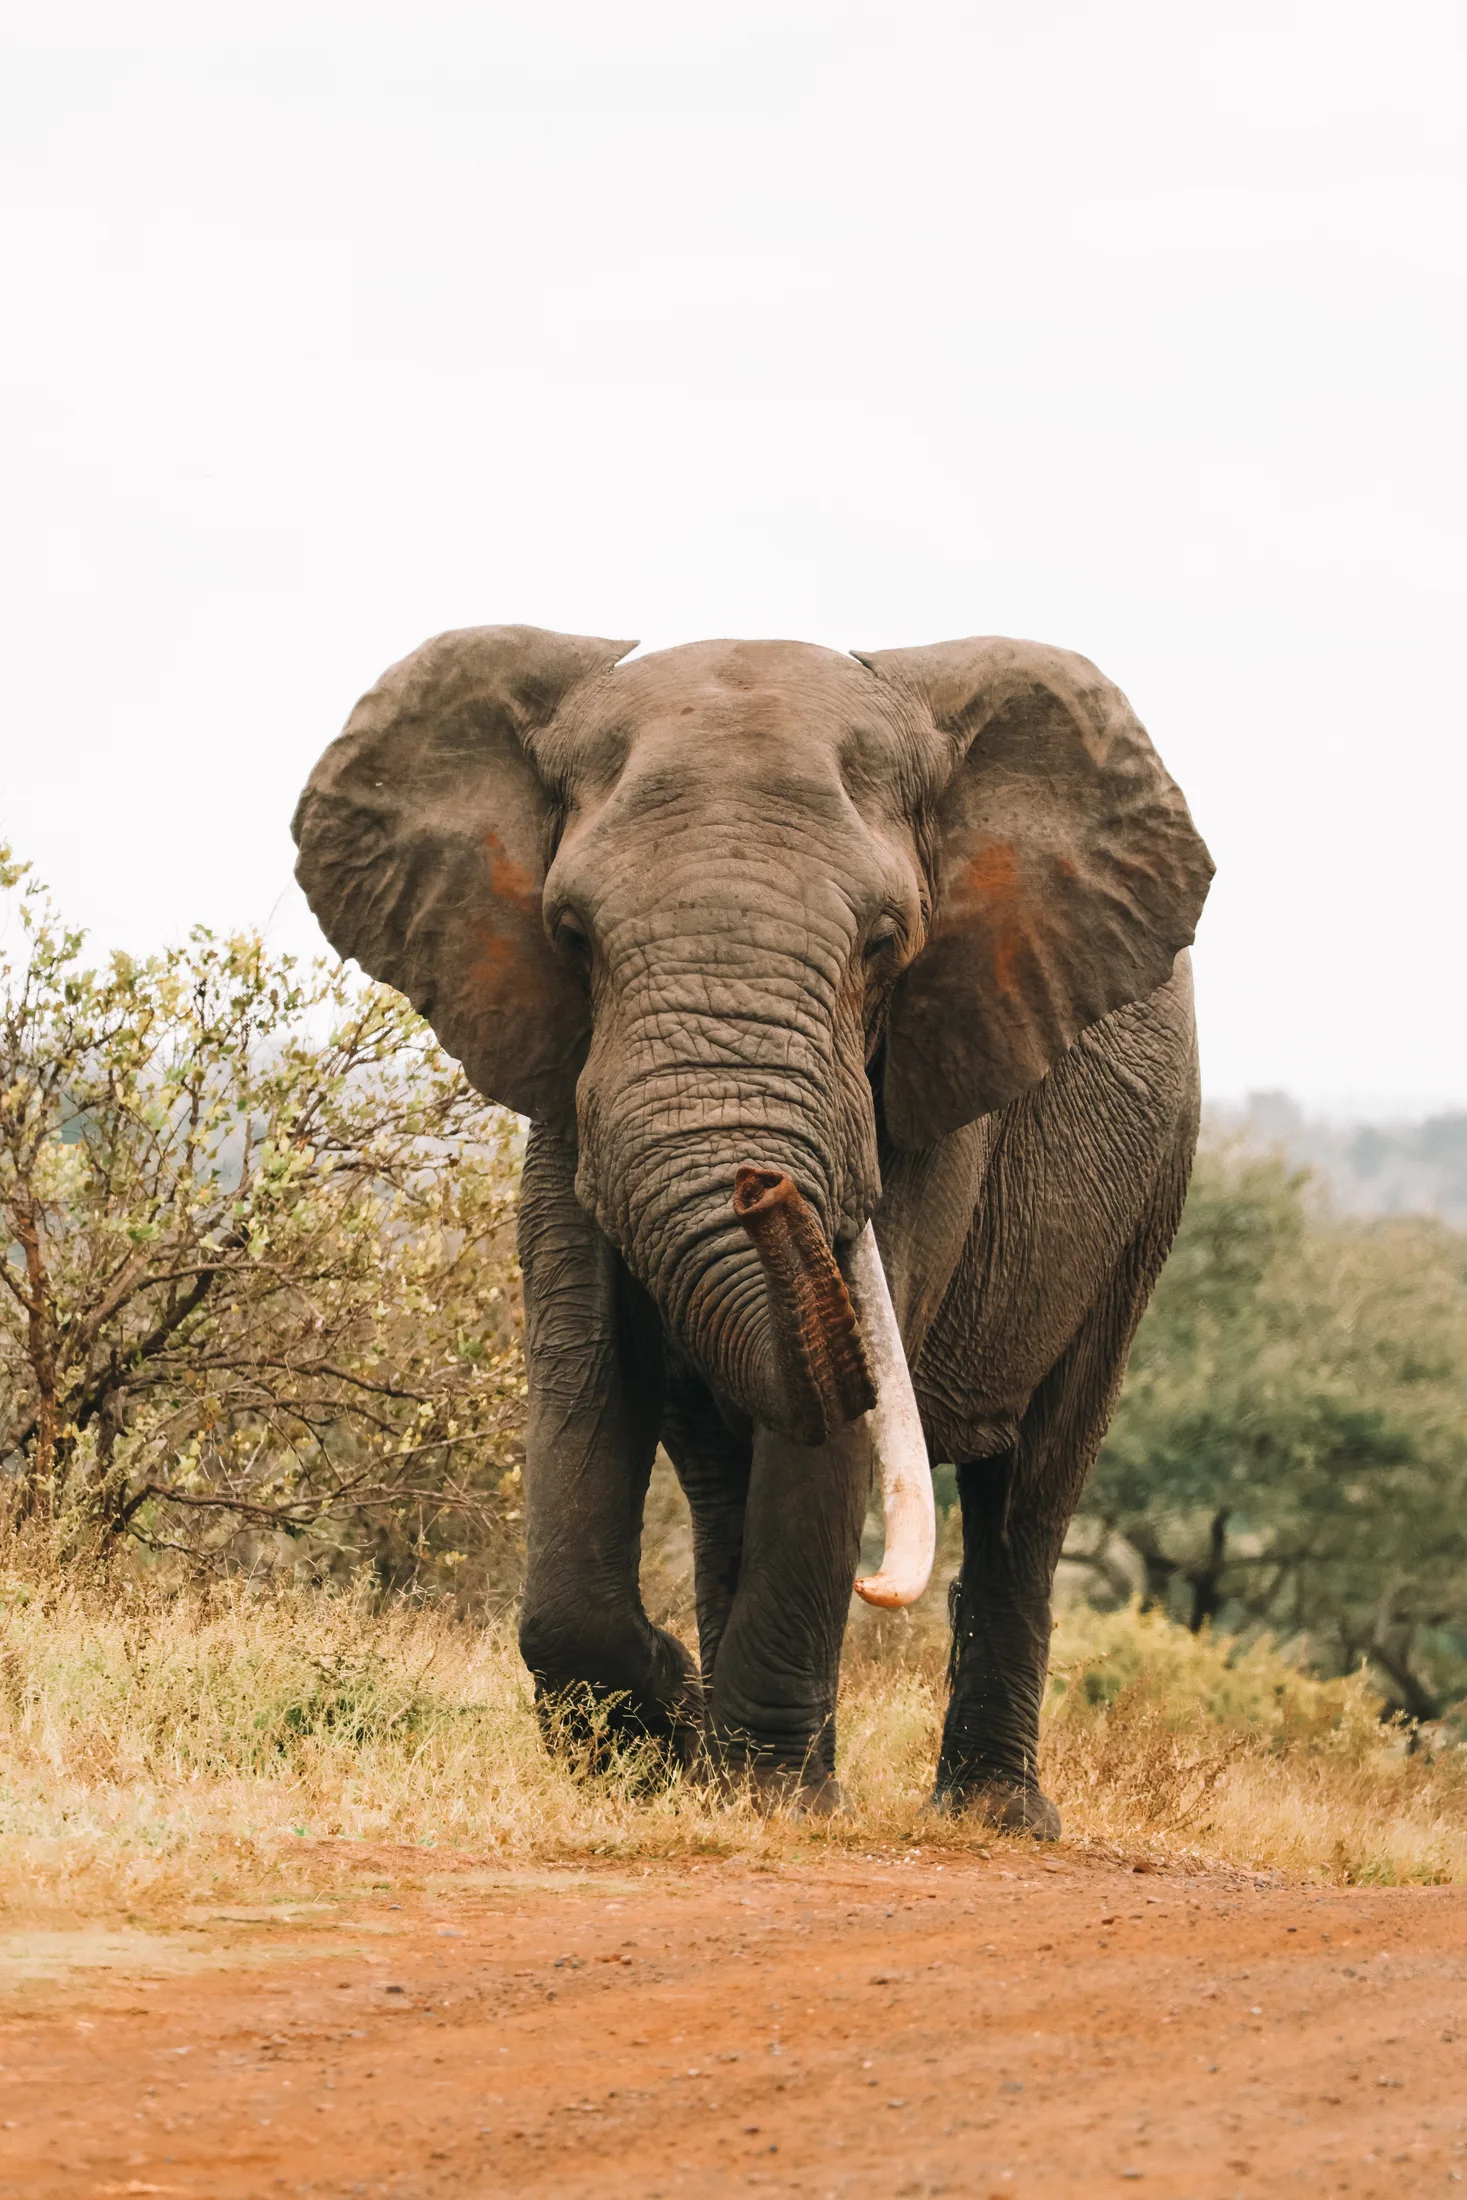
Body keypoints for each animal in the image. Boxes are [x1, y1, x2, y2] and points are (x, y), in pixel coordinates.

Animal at [292, 624, 1212, 1834]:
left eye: (885, 942)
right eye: (570, 934)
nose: (761, 1187)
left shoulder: (934, 1076)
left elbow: (843, 1411)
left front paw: (770, 1799)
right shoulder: (562, 1080)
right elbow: (584, 1361)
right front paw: (671, 1741)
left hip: (1148, 1196)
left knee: (1032, 1489)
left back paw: (989, 1816)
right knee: (723, 1472)